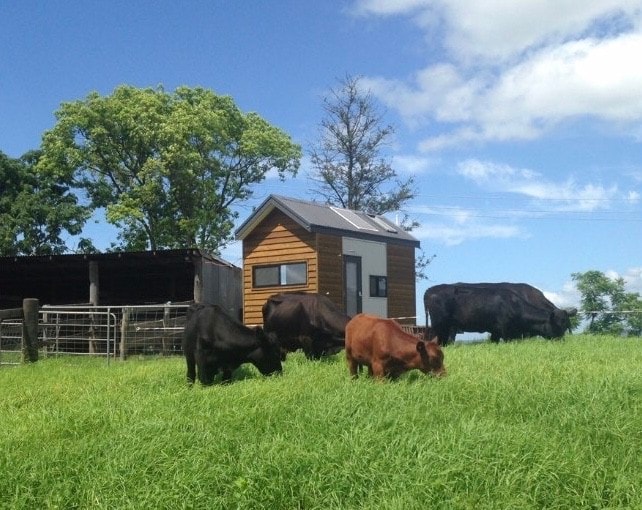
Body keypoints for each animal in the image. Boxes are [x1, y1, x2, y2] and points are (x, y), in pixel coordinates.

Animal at [422, 280, 576, 344]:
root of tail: (430, 290)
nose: (561, 341)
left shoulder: (495, 332)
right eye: (557, 326)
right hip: (440, 325)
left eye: (566, 326)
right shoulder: (506, 331)